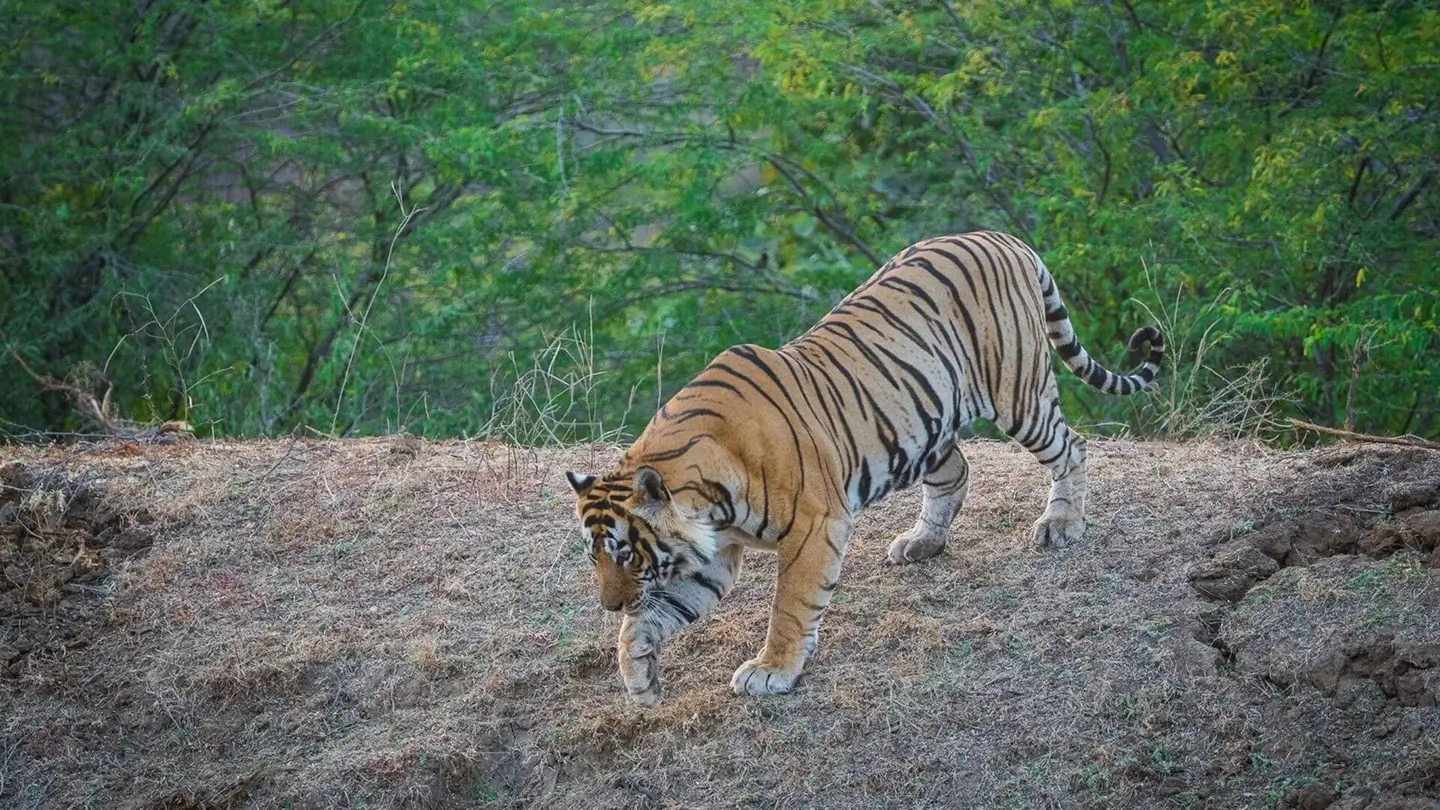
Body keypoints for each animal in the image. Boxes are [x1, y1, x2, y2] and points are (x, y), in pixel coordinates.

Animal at [566, 230, 1164, 705]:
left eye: (626, 553)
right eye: (596, 557)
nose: (608, 604)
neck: (706, 501)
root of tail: (1001, 236)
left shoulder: (813, 525)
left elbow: (791, 604)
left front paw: (771, 671)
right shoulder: (710, 556)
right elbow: (650, 619)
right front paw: (640, 679)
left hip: (1017, 392)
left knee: (1072, 447)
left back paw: (1061, 524)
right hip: (924, 424)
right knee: (957, 471)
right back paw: (922, 543)